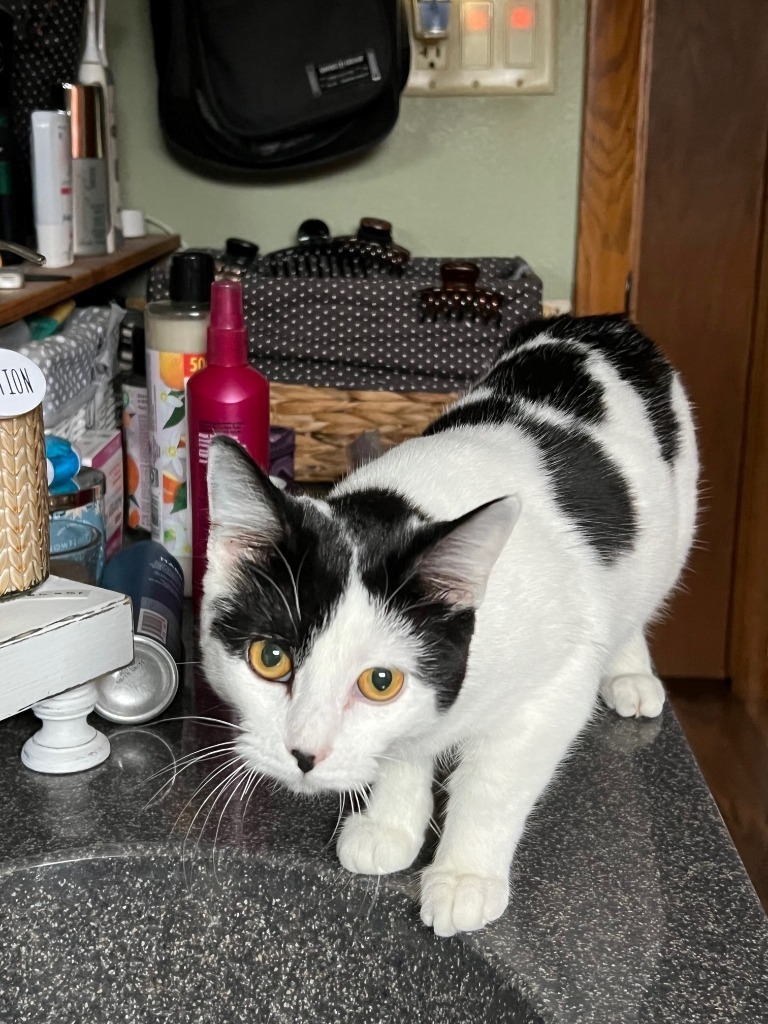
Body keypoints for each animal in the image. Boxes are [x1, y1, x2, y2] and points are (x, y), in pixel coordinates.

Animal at [198, 311, 696, 937]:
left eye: (378, 682)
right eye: (270, 658)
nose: (304, 755)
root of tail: (598, 321)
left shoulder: (556, 682)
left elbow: (495, 783)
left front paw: (464, 876)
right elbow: (405, 753)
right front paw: (389, 825)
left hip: (672, 527)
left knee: (639, 597)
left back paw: (630, 673)